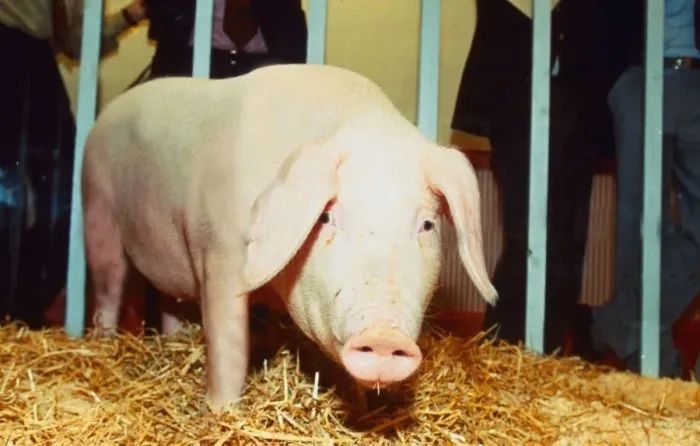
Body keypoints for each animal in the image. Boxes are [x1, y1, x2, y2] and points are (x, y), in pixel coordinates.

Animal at [81, 63, 498, 413]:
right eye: (326, 217)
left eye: (426, 225)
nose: (383, 334)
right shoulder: (218, 256)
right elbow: (229, 346)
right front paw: (220, 412)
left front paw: (365, 411)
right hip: (98, 210)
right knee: (108, 291)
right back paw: (101, 347)